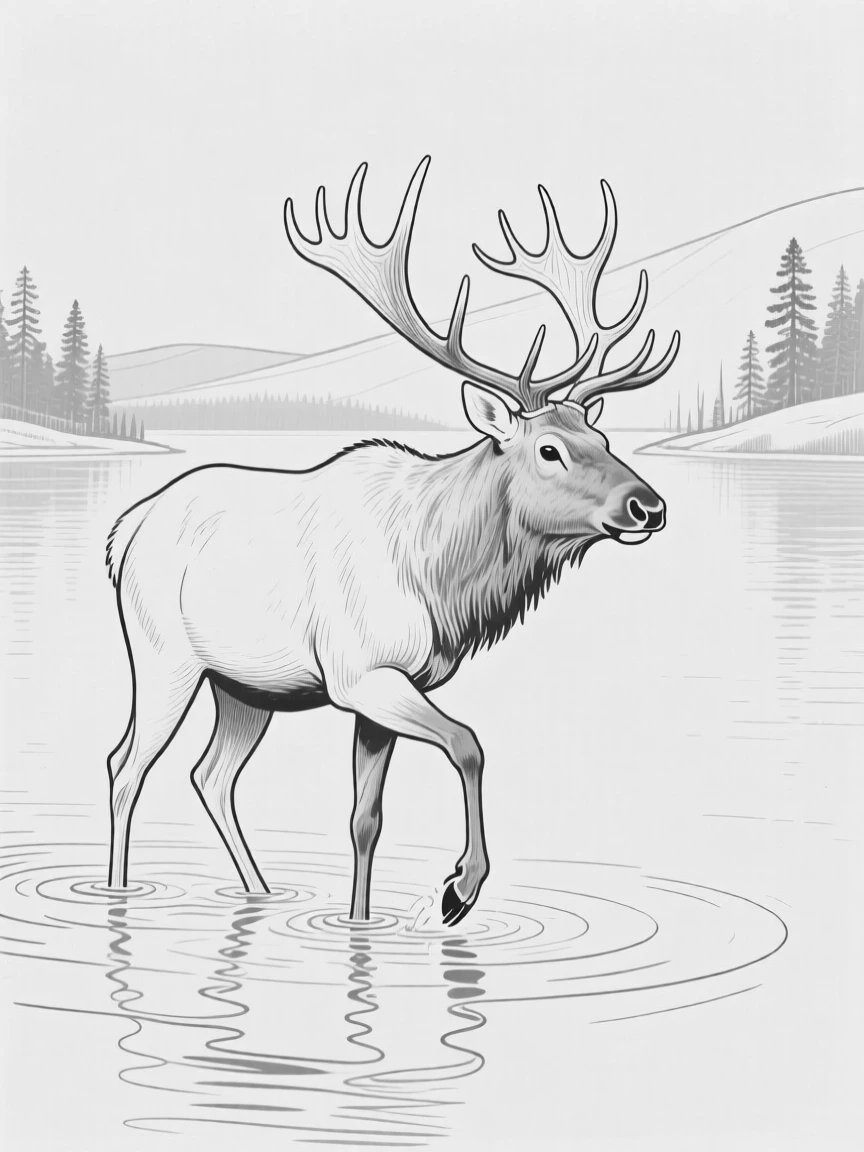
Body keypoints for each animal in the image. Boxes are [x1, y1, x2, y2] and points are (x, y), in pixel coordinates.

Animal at [104, 157, 679, 927]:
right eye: (551, 449)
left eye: (605, 438)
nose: (647, 505)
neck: (441, 577)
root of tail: (124, 531)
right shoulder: (363, 674)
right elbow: (469, 744)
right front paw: (460, 887)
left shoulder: (387, 690)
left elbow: (365, 818)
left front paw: (360, 920)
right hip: (162, 655)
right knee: (127, 765)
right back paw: (116, 892)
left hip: (243, 685)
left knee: (211, 775)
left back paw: (260, 891)